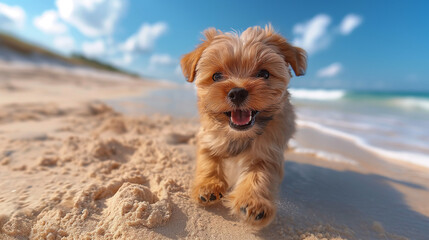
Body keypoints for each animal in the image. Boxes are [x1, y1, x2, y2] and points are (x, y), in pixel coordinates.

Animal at [179, 24, 306, 229]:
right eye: (216, 76)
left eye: (264, 74)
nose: (237, 92)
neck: (237, 134)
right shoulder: (209, 137)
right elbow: (208, 160)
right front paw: (207, 186)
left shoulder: (268, 150)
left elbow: (259, 175)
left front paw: (253, 203)